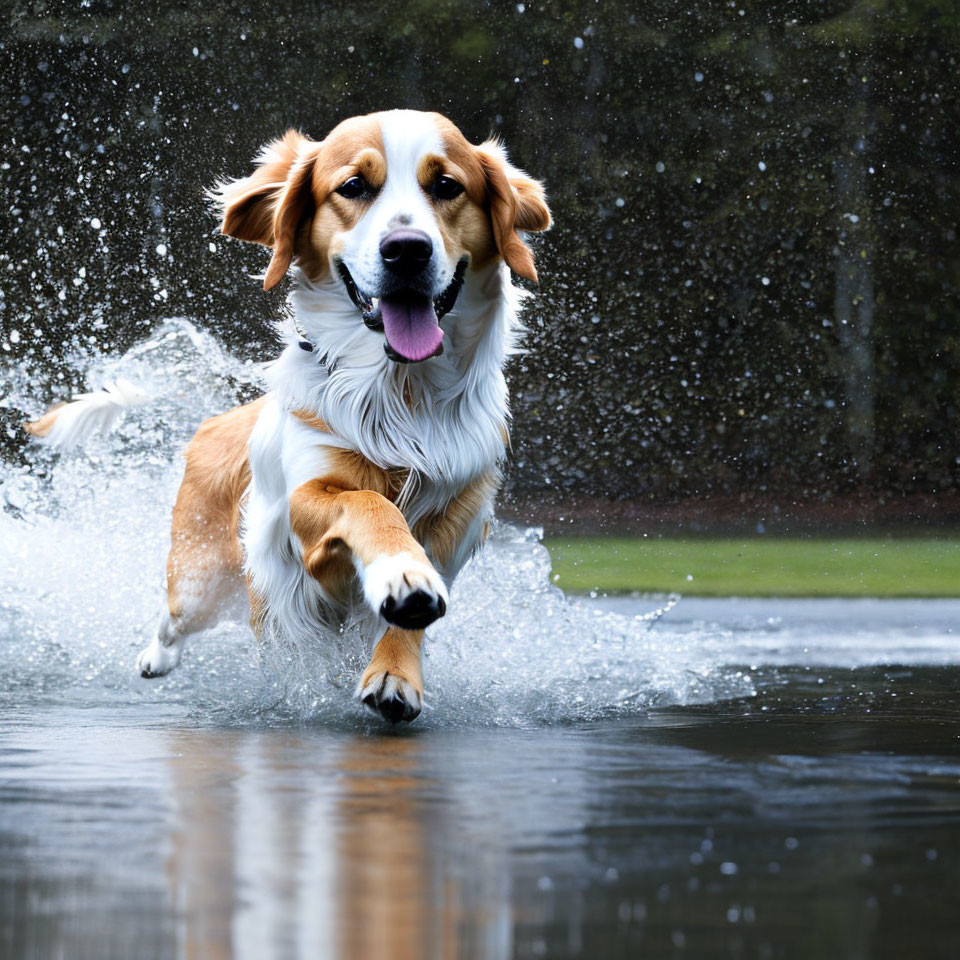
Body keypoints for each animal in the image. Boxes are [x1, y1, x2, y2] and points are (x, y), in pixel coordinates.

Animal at [26, 110, 552, 720]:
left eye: (447, 185)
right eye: (354, 186)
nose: (407, 249)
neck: (399, 395)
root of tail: (221, 419)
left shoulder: (459, 518)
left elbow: (418, 594)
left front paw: (397, 673)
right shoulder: (306, 497)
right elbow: (369, 504)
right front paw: (400, 570)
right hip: (201, 580)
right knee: (175, 616)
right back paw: (153, 659)